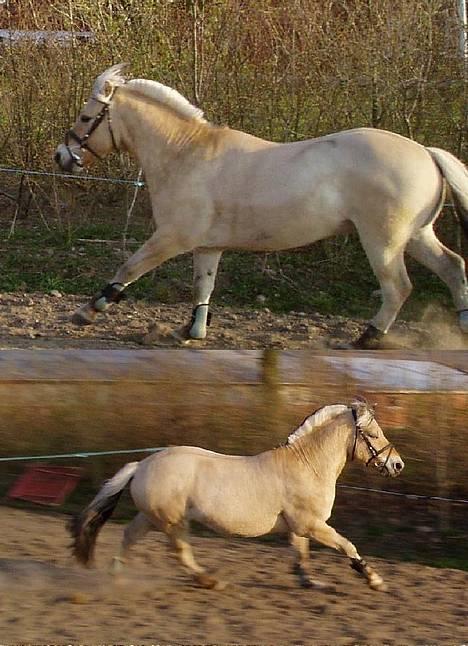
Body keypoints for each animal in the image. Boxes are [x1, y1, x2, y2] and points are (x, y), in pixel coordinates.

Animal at [54, 64, 468, 350]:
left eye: (87, 117)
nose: (62, 156)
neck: (186, 154)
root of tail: (426, 153)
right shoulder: (207, 246)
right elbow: (203, 287)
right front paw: (191, 331)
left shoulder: (172, 238)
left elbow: (128, 268)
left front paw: (87, 311)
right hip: (416, 236)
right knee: (453, 267)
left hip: (382, 241)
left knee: (398, 287)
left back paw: (367, 337)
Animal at [68, 402, 402, 596]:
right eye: (373, 434)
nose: (397, 465)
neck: (306, 466)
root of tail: (142, 465)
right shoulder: (311, 525)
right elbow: (348, 546)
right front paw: (375, 580)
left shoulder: (298, 528)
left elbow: (301, 558)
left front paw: (311, 583)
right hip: (172, 522)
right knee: (181, 553)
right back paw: (210, 582)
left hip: (150, 518)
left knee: (129, 537)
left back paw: (115, 578)